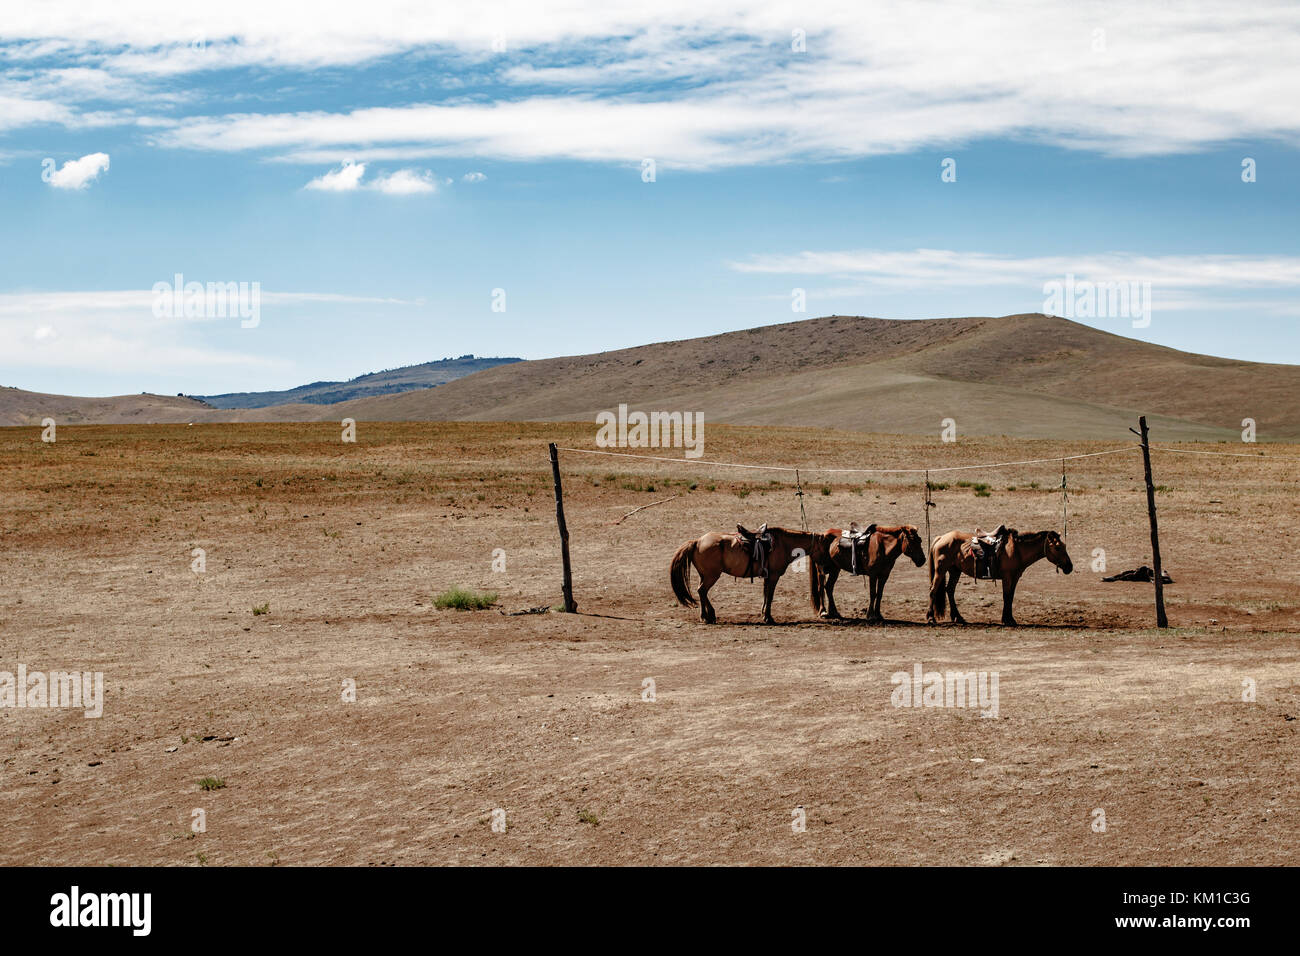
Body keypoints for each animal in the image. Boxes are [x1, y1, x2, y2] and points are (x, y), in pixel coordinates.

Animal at [670, 528, 821, 624]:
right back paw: (705, 617)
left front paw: (764, 614)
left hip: (705, 575)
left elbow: (765, 594)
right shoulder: (774, 576)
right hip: (711, 576)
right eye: (824, 545)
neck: (782, 544)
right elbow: (770, 595)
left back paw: (711, 615)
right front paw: (768, 618)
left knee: (702, 592)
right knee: (702, 591)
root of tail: (697, 541)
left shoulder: (767, 576)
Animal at [930, 528, 1071, 624]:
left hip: (955, 571)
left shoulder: (1015, 577)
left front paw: (1010, 618)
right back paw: (931, 618)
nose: (1070, 567)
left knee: (950, 590)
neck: (1017, 550)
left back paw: (958, 617)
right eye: (1058, 548)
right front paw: (1007, 620)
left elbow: (1010, 597)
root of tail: (941, 537)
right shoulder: (1007, 577)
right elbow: (1006, 596)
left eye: (1064, 546)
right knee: (933, 590)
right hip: (940, 570)